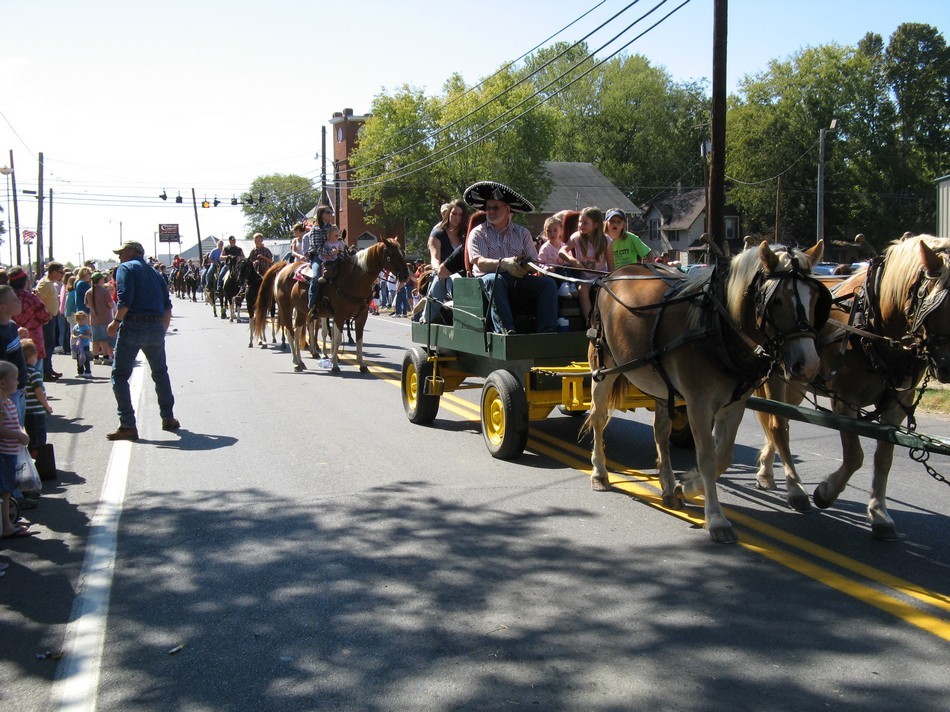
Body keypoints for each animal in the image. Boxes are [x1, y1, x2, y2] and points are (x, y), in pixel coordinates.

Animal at [584, 241, 828, 544]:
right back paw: (599, 473)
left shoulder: (734, 404)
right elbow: (708, 458)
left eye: (816, 299)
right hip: (603, 368)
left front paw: (686, 485)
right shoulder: (698, 403)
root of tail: (611, 275)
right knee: (598, 418)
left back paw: (667, 487)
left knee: (660, 431)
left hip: (660, 383)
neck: (717, 326)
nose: (809, 365)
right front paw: (716, 518)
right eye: (777, 301)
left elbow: (723, 456)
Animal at [760, 234, 950, 540]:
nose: (946, 366)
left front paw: (879, 513)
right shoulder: (844, 400)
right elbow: (854, 456)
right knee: (778, 425)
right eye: (936, 305)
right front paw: (825, 492)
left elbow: (884, 456)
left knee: (779, 422)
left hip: (797, 380)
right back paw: (795, 489)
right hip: (778, 376)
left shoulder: (898, 403)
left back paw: (766, 472)